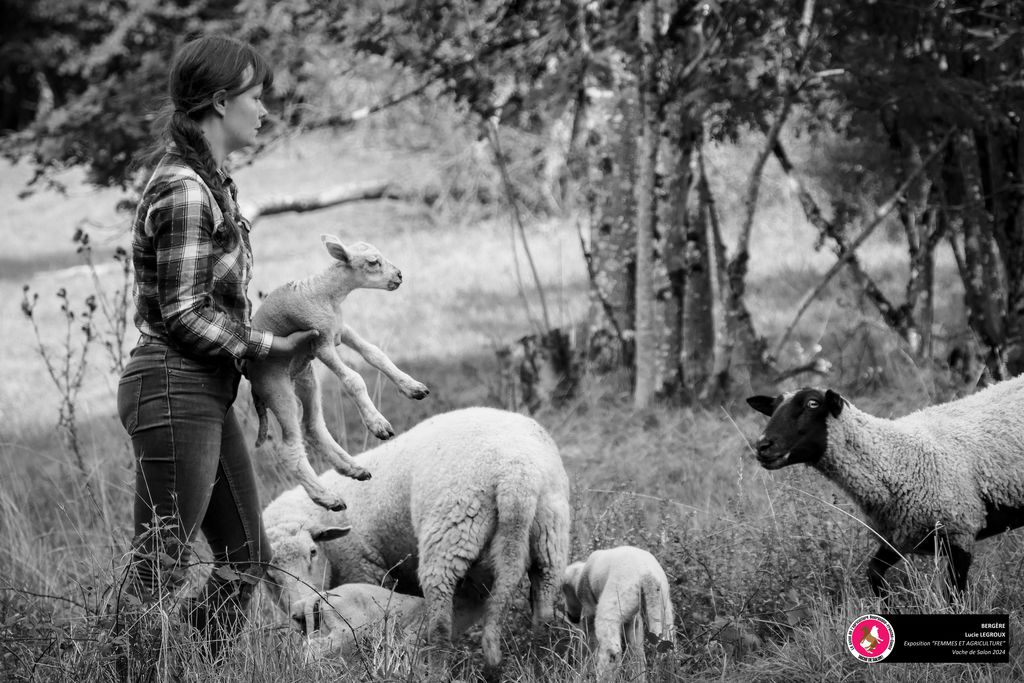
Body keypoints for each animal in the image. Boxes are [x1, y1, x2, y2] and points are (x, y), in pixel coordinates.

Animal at [246, 232, 428, 509]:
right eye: (373, 262)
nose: (399, 276)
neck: (324, 294)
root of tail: (248, 373)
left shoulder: (341, 331)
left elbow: (376, 354)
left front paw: (412, 387)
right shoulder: (321, 342)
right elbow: (354, 379)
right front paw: (378, 424)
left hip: (305, 377)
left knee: (312, 427)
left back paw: (354, 469)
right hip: (274, 384)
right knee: (290, 447)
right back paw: (327, 497)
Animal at [260, 405, 573, 679]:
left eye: (313, 552)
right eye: (268, 575)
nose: (298, 612)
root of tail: (516, 476)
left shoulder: (363, 570)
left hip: (449, 533)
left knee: (440, 626)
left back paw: (437, 673)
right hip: (550, 535)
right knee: (544, 612)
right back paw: (540, 665)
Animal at [749, 382, 1024, 602]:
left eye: (813, 403)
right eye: (773, 408)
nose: (762, 446)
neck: (895, 456)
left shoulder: (961, 531)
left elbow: (955, 597)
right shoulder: (899, 537)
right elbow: (873, 573)